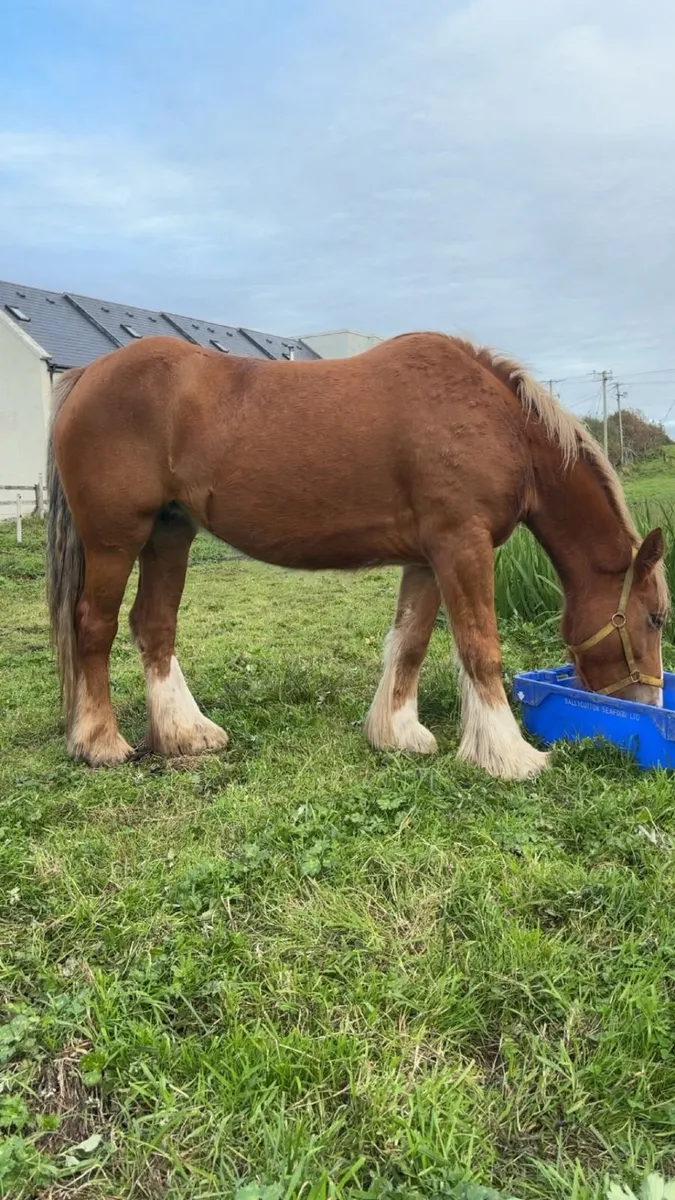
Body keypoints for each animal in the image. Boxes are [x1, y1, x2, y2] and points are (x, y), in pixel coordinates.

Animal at [46, 332, 669, 780]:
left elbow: (410, 642)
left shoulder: (428, 557)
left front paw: (396, 733)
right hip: (115, 539)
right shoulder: (461, 544)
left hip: (170, 534)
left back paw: (185, 734)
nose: (648, 701)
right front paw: (510, 756)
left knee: (153, 625)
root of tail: (86, 376)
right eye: (656, 618)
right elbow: (480, 647)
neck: (500, 422)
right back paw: (101, 743)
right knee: (94, 626)